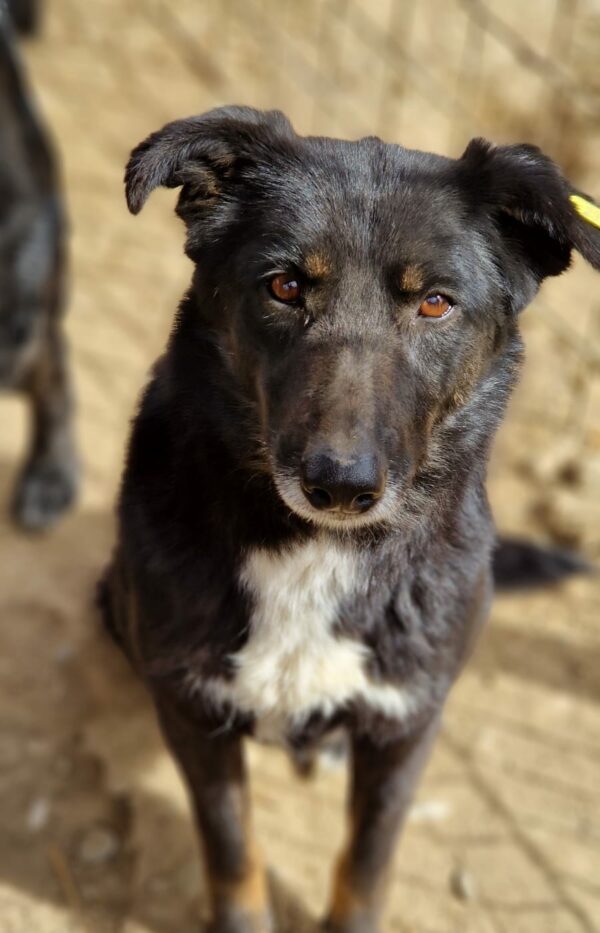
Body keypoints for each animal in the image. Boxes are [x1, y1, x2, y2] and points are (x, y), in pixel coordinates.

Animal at [101, 107, 596, 932]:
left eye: (435, 302)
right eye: (284, 285)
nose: (338, 484)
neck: (316, 550)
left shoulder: (406, 724)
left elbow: (367, 860)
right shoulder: (193, 711)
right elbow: (231, 847)